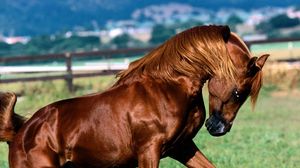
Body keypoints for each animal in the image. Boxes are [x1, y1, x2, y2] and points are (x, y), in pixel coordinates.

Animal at [0, 25, 268, 168]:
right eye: (238, 92)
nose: (218, 127)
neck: (169, 88)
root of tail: (20, 133)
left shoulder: (182, 147)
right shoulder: (148, 150)